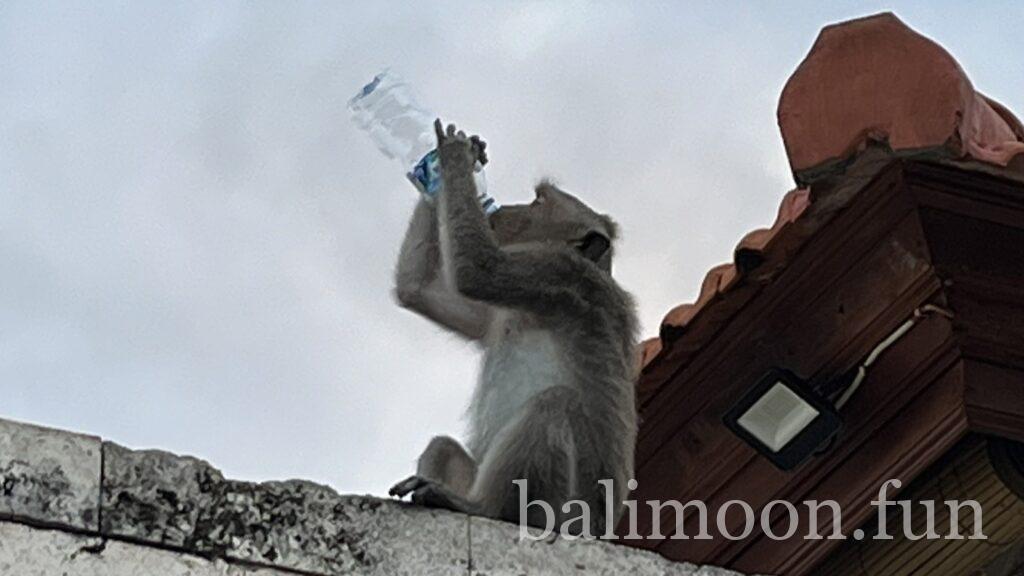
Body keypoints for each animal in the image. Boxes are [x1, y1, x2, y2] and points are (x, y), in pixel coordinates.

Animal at [387, 117, 634, 532]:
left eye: (538, 202)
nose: (507, 209)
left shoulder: (559, 272)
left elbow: (479, 270)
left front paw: (454, 155)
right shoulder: (498, 313)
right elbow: (417, 290)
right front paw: (454, 158)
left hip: (561, 509)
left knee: (553, 405)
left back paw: (484, 508)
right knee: (443, 445)